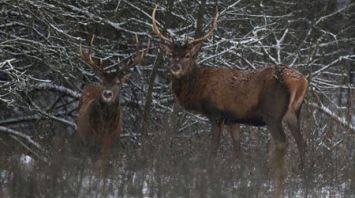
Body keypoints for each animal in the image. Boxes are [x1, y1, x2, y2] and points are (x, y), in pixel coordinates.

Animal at [152, 4, 308, 166]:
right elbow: (238, 151)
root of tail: (301, 81)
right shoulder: (233, 120)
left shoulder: (216, 113)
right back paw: (304, 170)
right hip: (293, 113)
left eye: (187, 55)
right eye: (171, 55)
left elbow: (213, 149)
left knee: (283, 142)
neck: (199, 90)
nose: (175, 67)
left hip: (272, 112)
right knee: (302, 142)